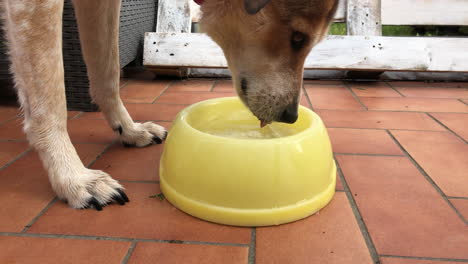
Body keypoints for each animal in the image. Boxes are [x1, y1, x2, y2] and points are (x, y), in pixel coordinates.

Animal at [0, 0, 336, 210]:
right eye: (298, 38)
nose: (291, 116)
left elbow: (108, 68)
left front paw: (128, 129)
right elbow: (50, 95)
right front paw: (73, 177)